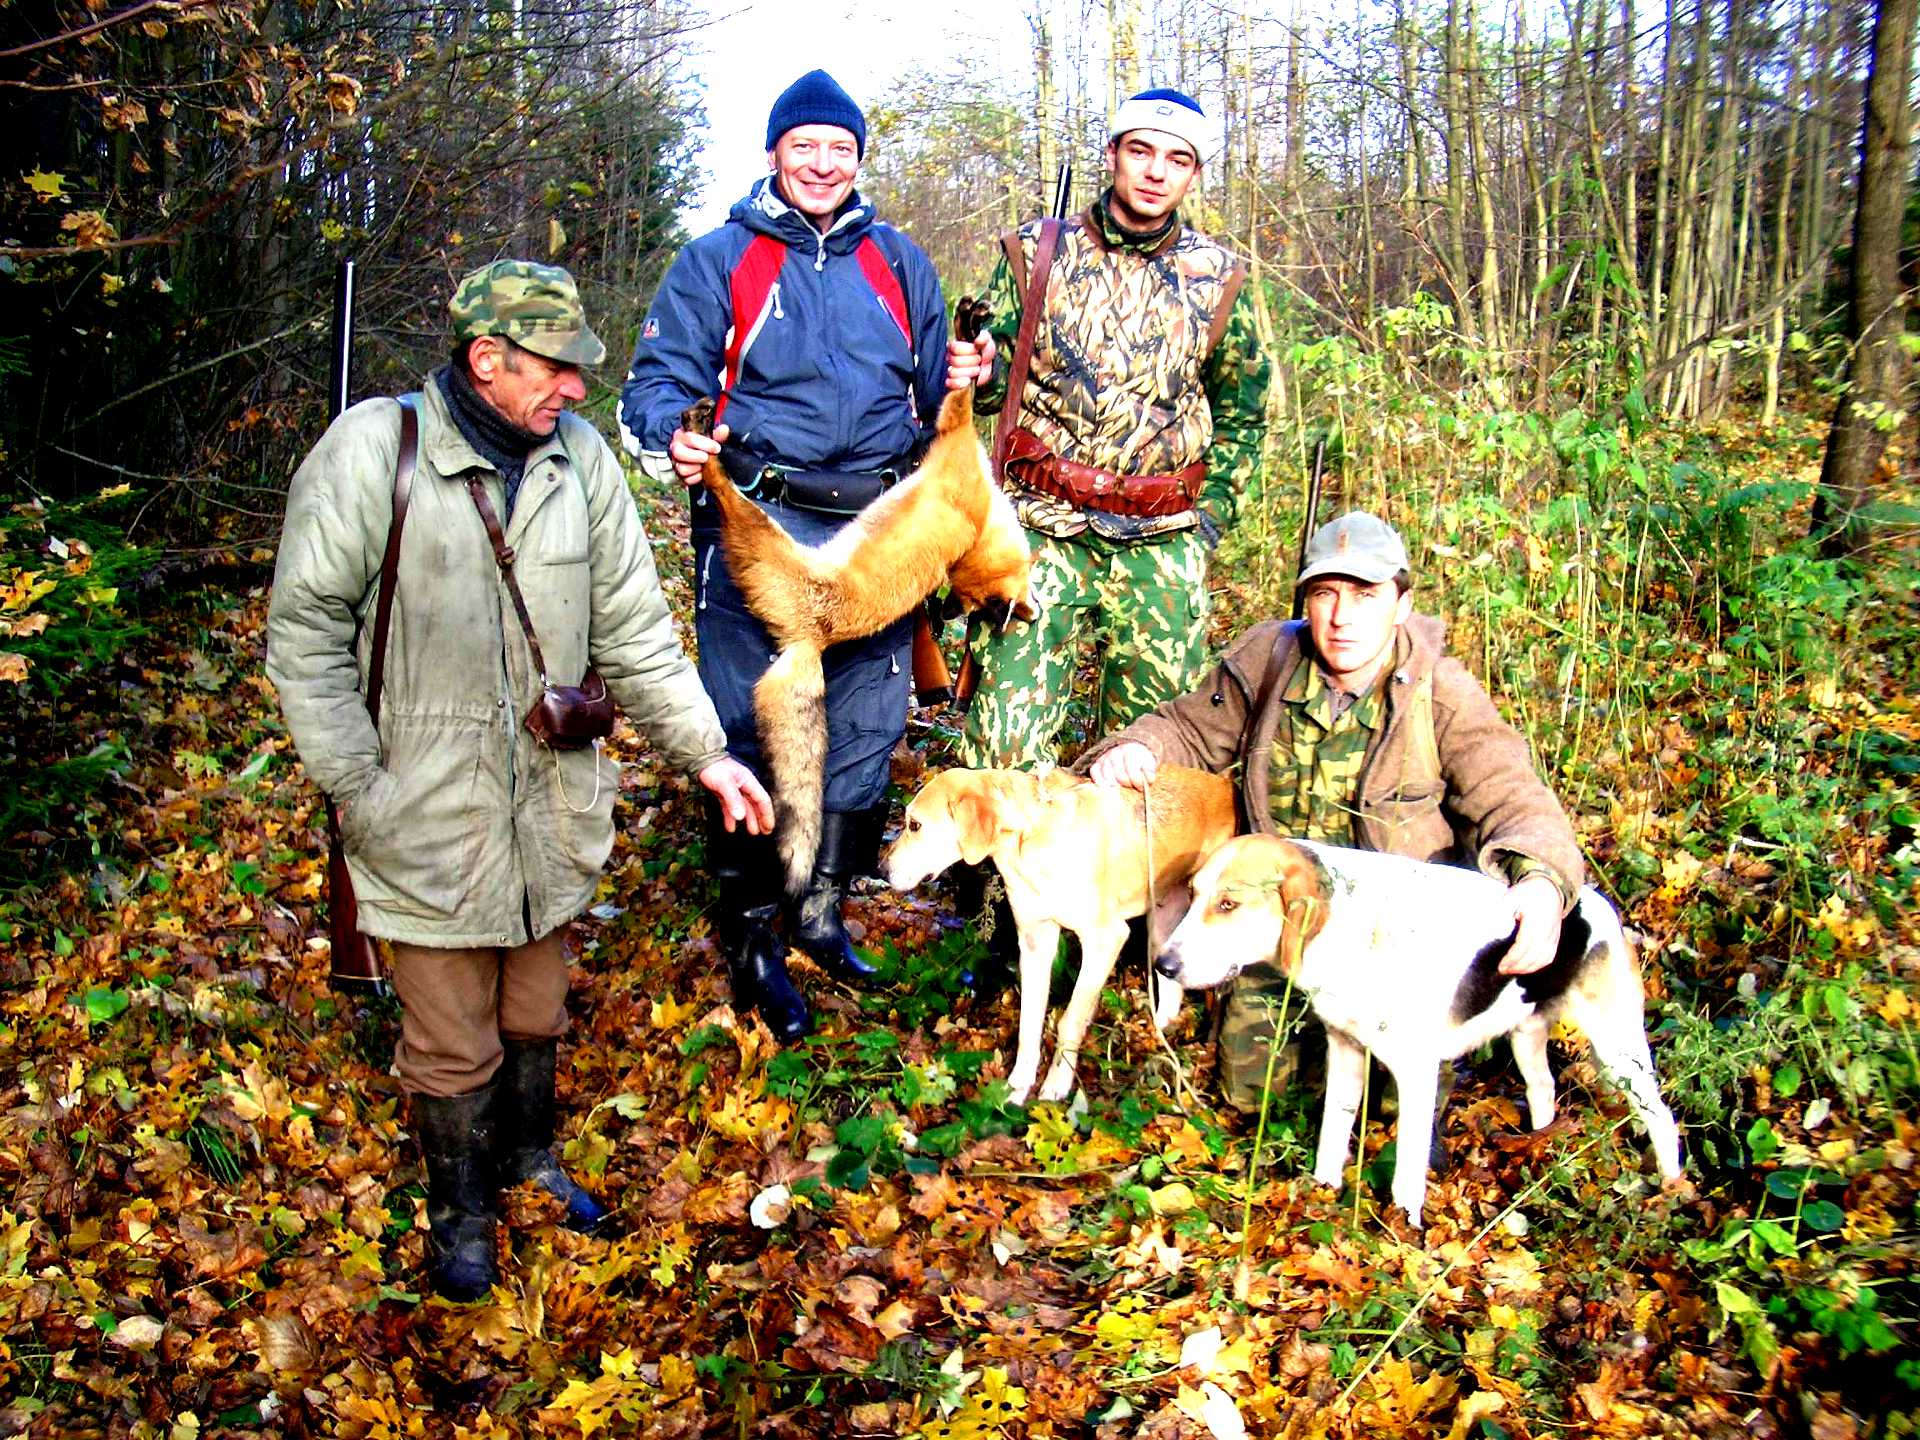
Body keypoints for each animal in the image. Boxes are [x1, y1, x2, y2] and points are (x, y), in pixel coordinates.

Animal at [1152, 833, 1681, 1228]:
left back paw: (1671, 1188)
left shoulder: (1415, 1075)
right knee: (1543, 1087)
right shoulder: (1346, 1050)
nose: (1163, 965)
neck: (1352, 928)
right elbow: (1331, 1138)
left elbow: (1407, 1168)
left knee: (1662, 1118)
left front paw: (1404, 1230)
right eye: (1193, 895)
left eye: (1228, 904)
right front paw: (1322, 1194)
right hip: (1526, 1035)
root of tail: (1595, 904)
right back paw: (1538, 1149)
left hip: (1619, 1050)